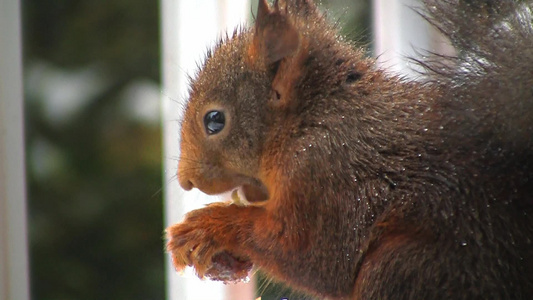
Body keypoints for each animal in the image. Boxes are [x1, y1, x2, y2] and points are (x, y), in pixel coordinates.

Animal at [166, 0, 532, 298]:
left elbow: (315, 257)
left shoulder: (326, 171)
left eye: (214, 120)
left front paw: (207, 226)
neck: (310, 117)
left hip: (405, 269)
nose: (186, 180)